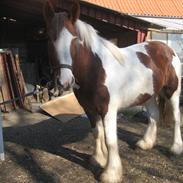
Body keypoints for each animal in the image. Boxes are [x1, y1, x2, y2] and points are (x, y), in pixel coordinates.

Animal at [43, 0, 182, 182]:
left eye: (75, 39)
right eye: (49, 39)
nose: (64, 81)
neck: (95, 71)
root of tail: (167, 49)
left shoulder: (108, 110)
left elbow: (110, 140)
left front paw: (110, 173)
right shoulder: (89, 109)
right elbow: (97, 133)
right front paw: (98, 159)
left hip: (173, 92)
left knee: (176, 118)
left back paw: (176, 148)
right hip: (149, 95)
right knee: (153, 116)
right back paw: (146, 143)